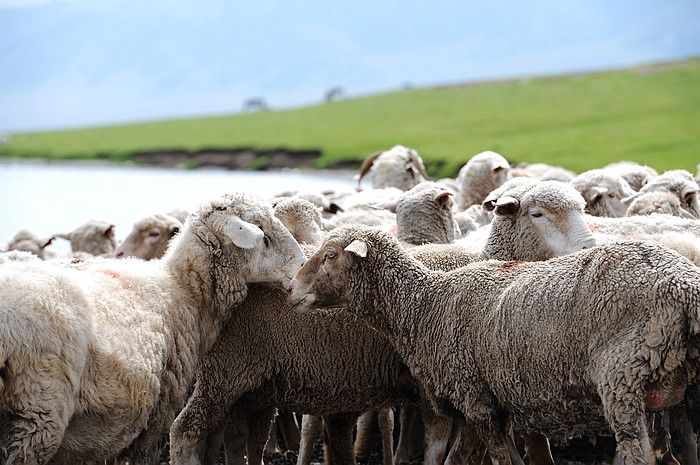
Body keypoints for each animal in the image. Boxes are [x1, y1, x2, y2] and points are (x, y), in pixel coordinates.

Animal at [288, 224, 700, 464]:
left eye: (329, 255)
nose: (290, 289)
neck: (425, 306)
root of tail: (685, 285)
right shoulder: (490, 404)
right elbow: (475, 458)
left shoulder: (476, 400)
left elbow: (492, 459)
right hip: (683, 388)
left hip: (623, 379)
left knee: (637, 453)